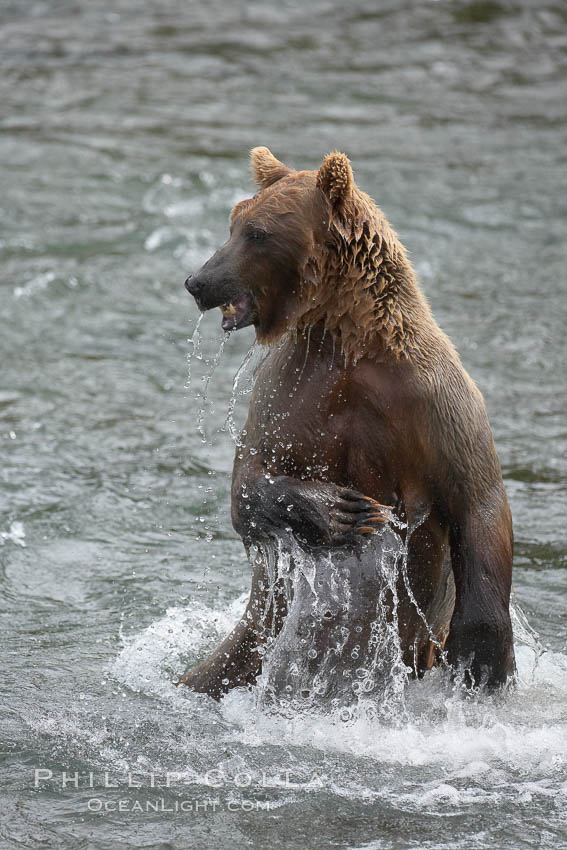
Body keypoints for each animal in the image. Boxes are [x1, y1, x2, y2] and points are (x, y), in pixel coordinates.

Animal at [181, 149, 516, 700]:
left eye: (257, 232)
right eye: (234, 221)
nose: (198, 282)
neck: (349, 343)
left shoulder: (431, 400)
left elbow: (478, 499)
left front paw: (484, 659)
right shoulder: (289, 393)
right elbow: (248, 485)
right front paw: (343, 511)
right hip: (248, 648)